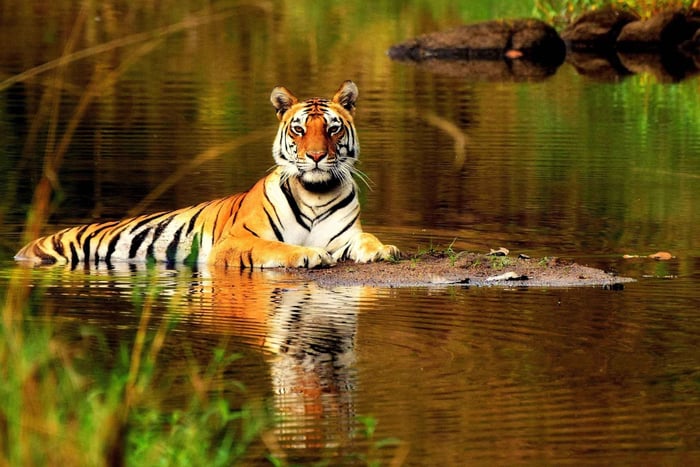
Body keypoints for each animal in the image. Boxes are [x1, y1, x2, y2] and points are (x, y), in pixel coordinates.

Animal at [15, 80, 399, 269]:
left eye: (333, 129)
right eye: (299, 130)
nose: (317, 156)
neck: (315, 193)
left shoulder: (345, 235)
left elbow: (367, 239)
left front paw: (385, 249)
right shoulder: (236, 242)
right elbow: (276, 247)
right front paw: (308, 255)